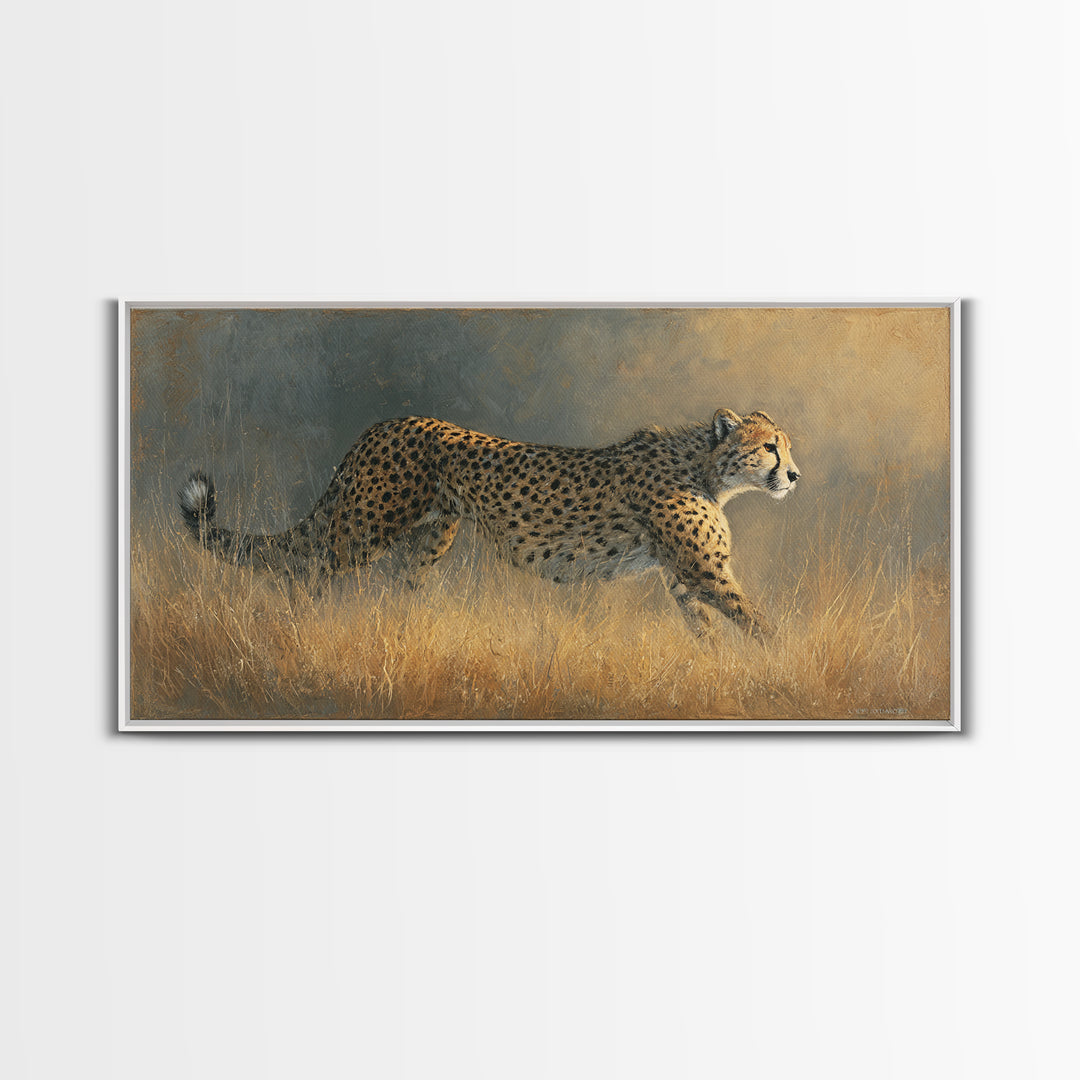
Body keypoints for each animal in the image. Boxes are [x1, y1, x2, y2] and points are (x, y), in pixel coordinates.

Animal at [178, 408, 800, 640]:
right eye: (771, 446)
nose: (794, 476)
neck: (705, 466)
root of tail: (386, 422)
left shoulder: (683, 576)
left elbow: (707, 630)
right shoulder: (705, 571)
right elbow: (758, 622)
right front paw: (783, 665)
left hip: (428, 541)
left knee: (399, 589)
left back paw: (410, 635)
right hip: (360, 530)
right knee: (303, 573)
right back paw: (295, 632)